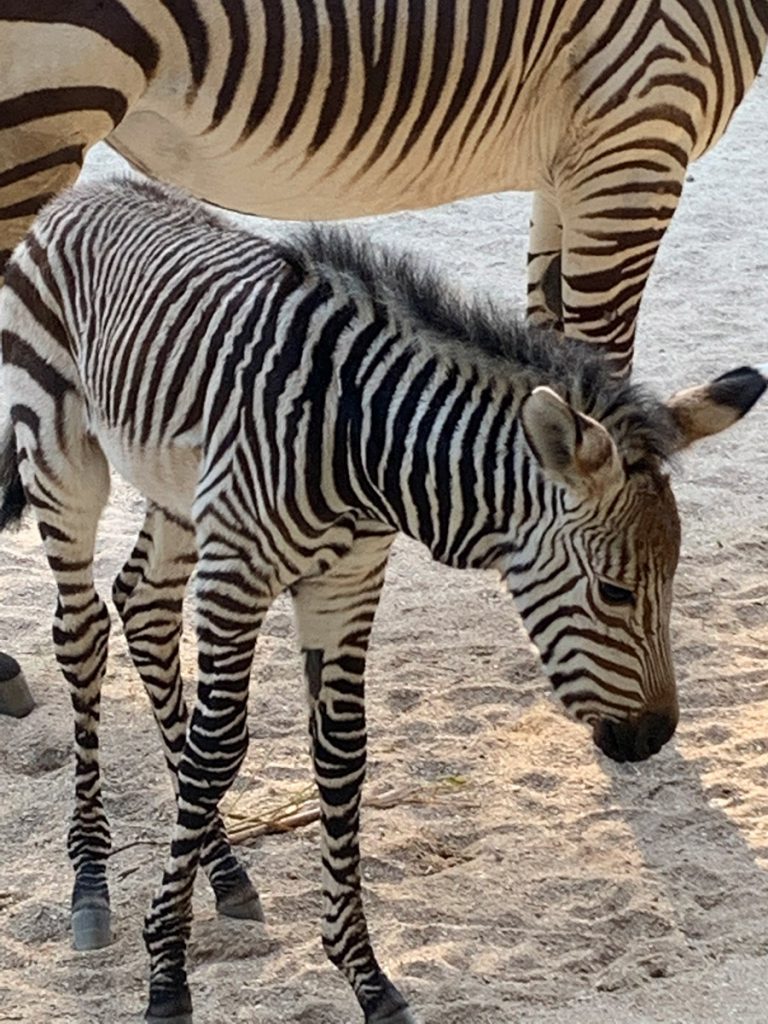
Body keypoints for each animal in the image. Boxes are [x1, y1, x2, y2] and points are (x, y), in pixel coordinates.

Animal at [1, 176, 765, 1024]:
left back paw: (225, 868)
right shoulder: (238, 570)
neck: (360, 443)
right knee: (82, 631)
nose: (654, 738)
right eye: (616, 590)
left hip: (176, 494)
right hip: (61, 456)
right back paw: (91, 879)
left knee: (142, 607)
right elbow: (218, 749)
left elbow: (342, 754)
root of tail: (89, 190)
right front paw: (166, 971)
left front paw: (363, 972)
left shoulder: (348, 581)